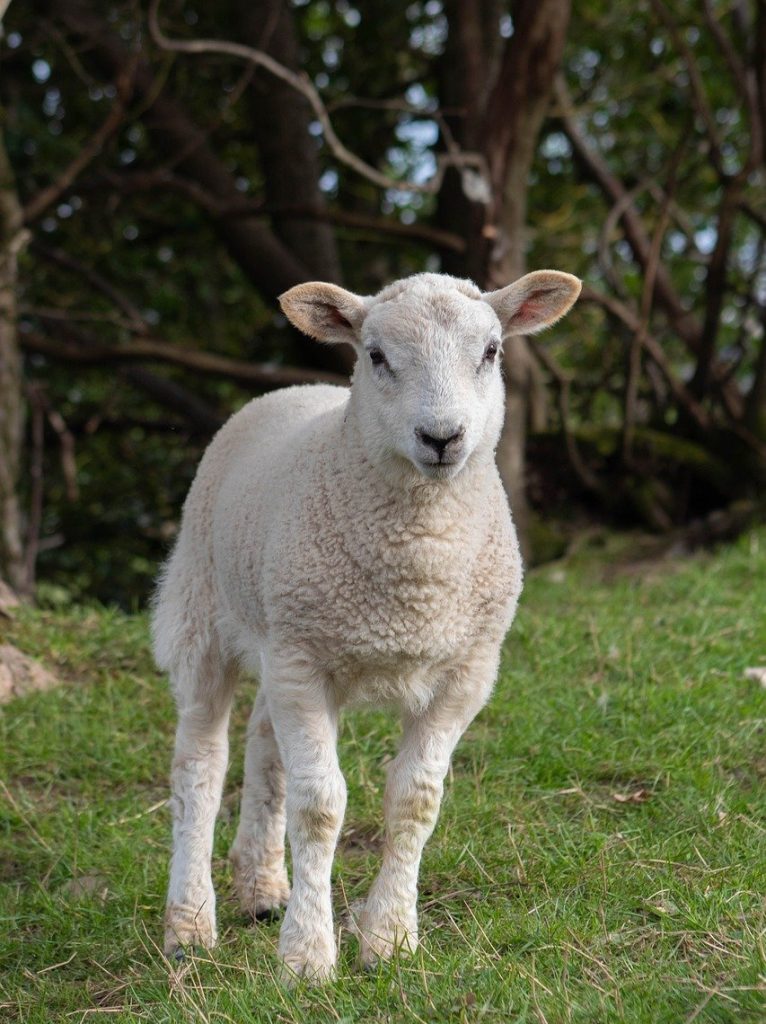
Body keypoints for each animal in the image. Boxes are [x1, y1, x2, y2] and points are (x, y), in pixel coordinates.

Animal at [151, 269, 581, 981]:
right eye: (376, 355)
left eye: (491, 351)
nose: (442, 437)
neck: (417, 574)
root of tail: (292, 388)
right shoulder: (302, 662)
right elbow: (320, 806)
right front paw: (307, 958)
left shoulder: (466, 671)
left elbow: (416, 799)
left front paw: (391, 939)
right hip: (204, 612)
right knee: (200, 764)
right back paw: (190, 924)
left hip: (279, 630)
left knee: (263, 742)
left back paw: (262, 886)